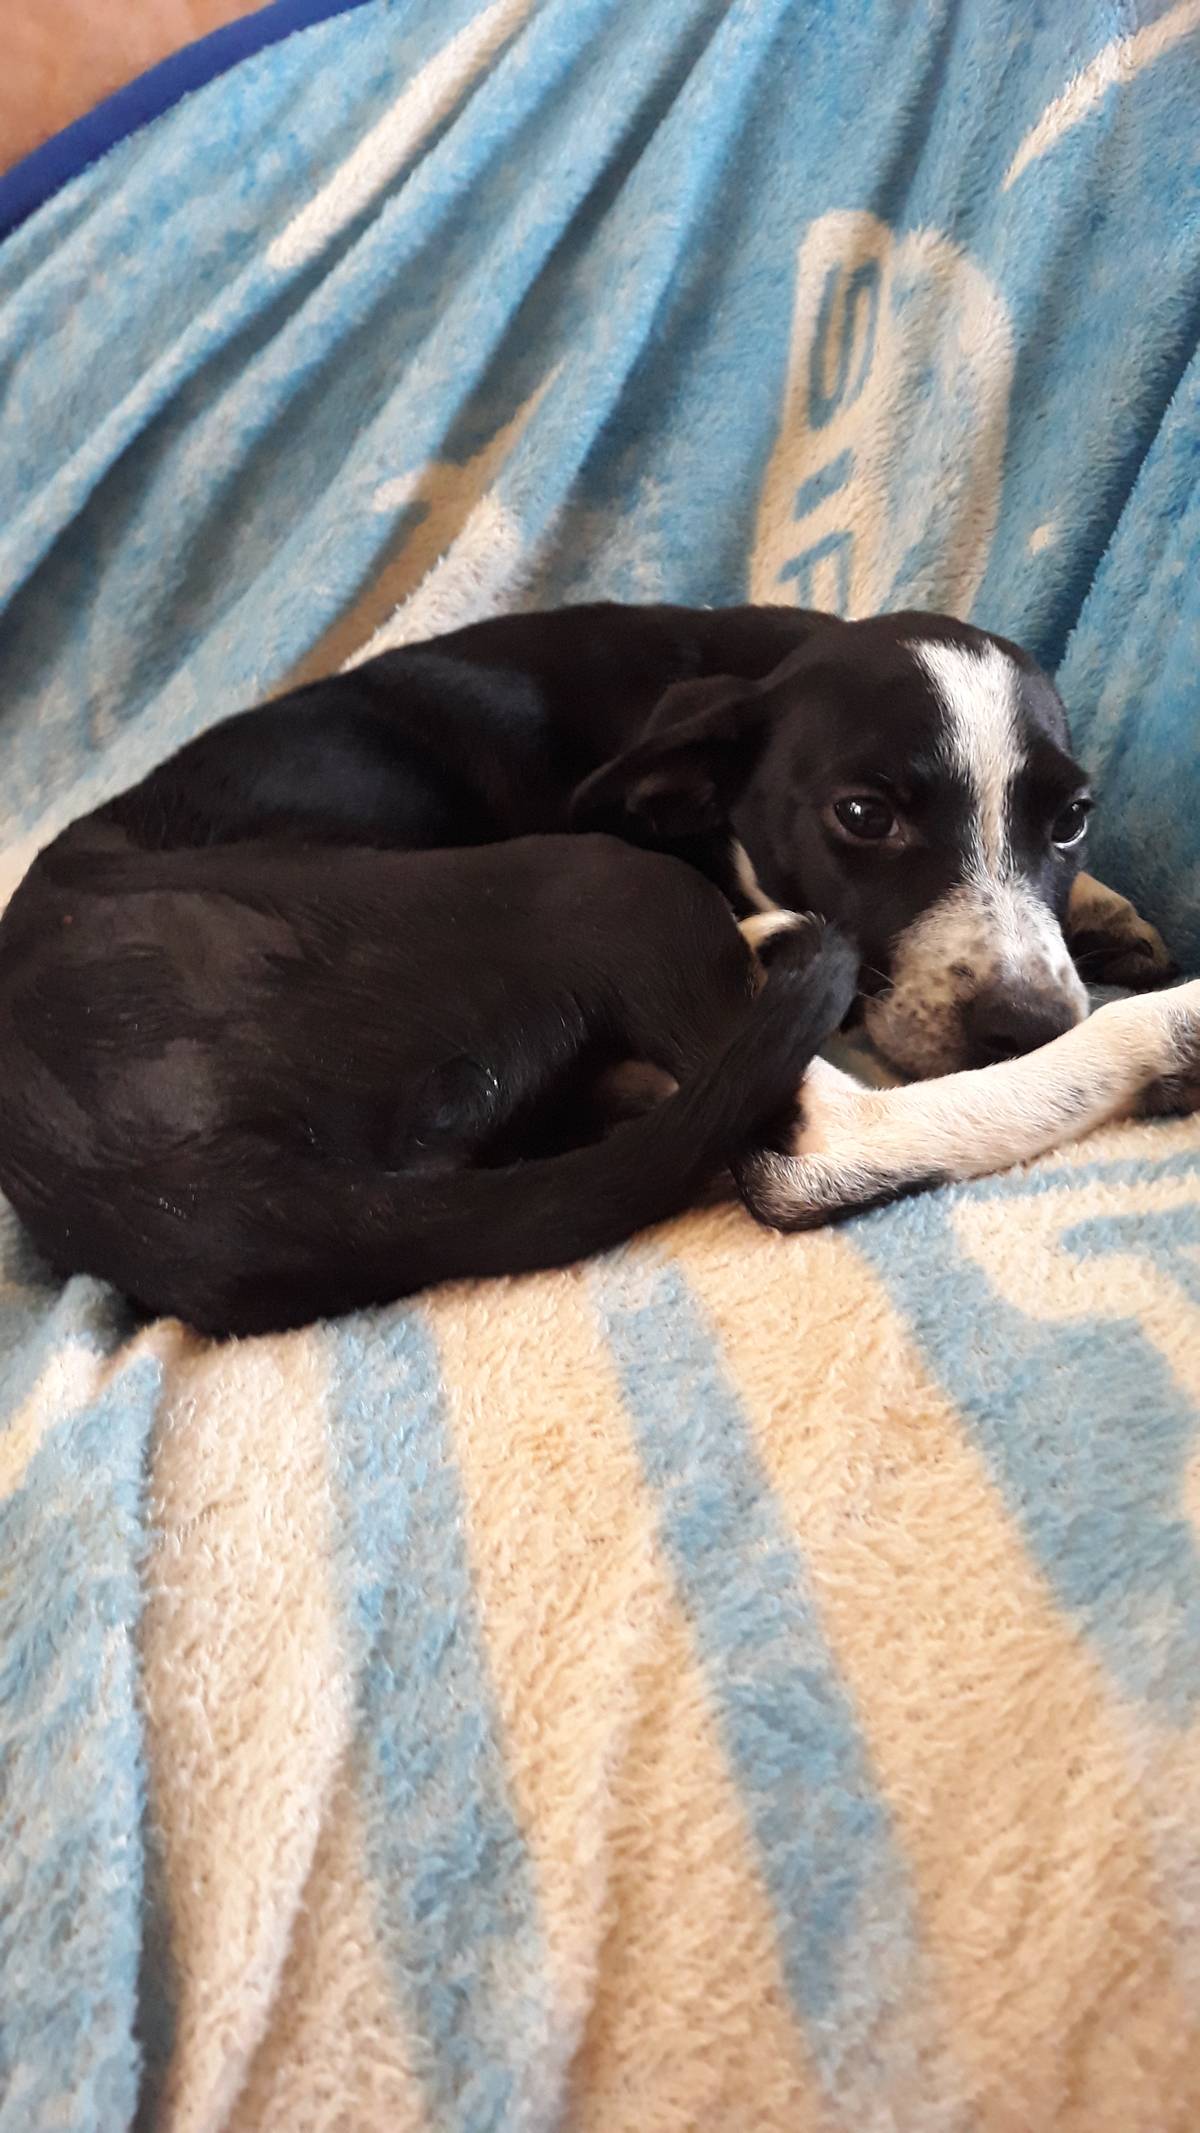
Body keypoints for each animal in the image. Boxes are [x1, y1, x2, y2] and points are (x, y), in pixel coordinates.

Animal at [0, 599, 1191, 1335]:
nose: (1026, 1020)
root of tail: (164, 1194)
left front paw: (1102, 910)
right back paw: (1153, 1032)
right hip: (595, 880)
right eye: (864, 816)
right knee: (819, 1146)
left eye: (1074, 817)